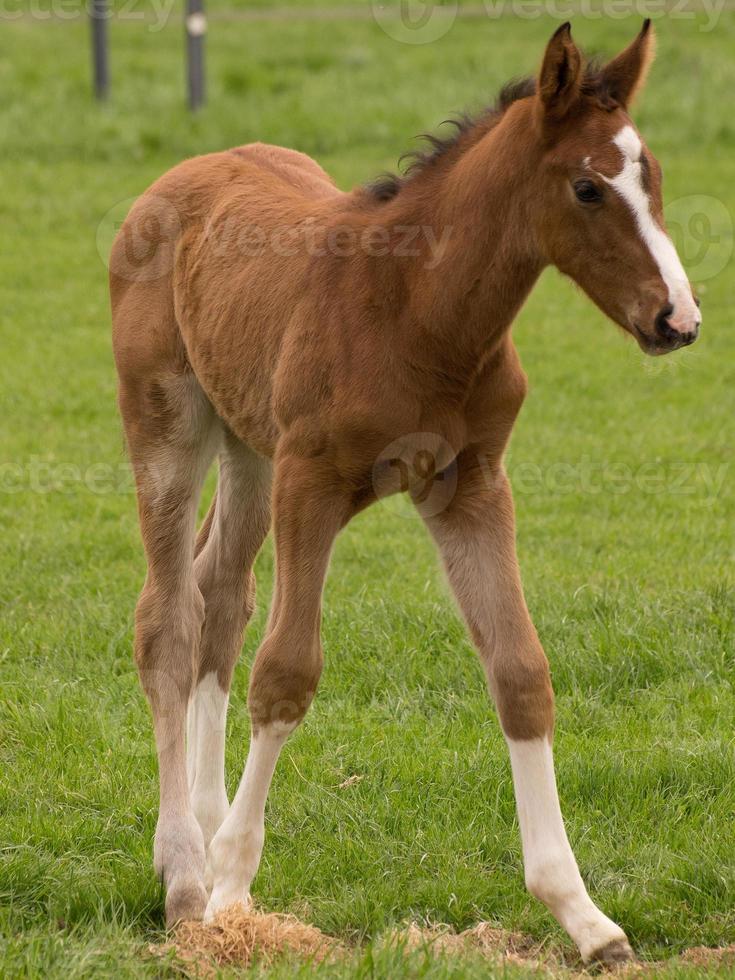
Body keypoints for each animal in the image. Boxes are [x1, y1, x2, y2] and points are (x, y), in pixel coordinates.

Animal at [110, 23, 700, 964]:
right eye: (585, 187)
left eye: (654, 179)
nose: (676, 320)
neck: (416, 311)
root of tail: (180, 174)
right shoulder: (311, 483)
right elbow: (287, 672)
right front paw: (235, 892)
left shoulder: (471, 488)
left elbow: (520, 673)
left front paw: (582, 915)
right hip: (169, 420)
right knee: (169, 617)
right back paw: (186, 876)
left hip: (248, 447)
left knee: (220, 598)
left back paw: (200, 828)